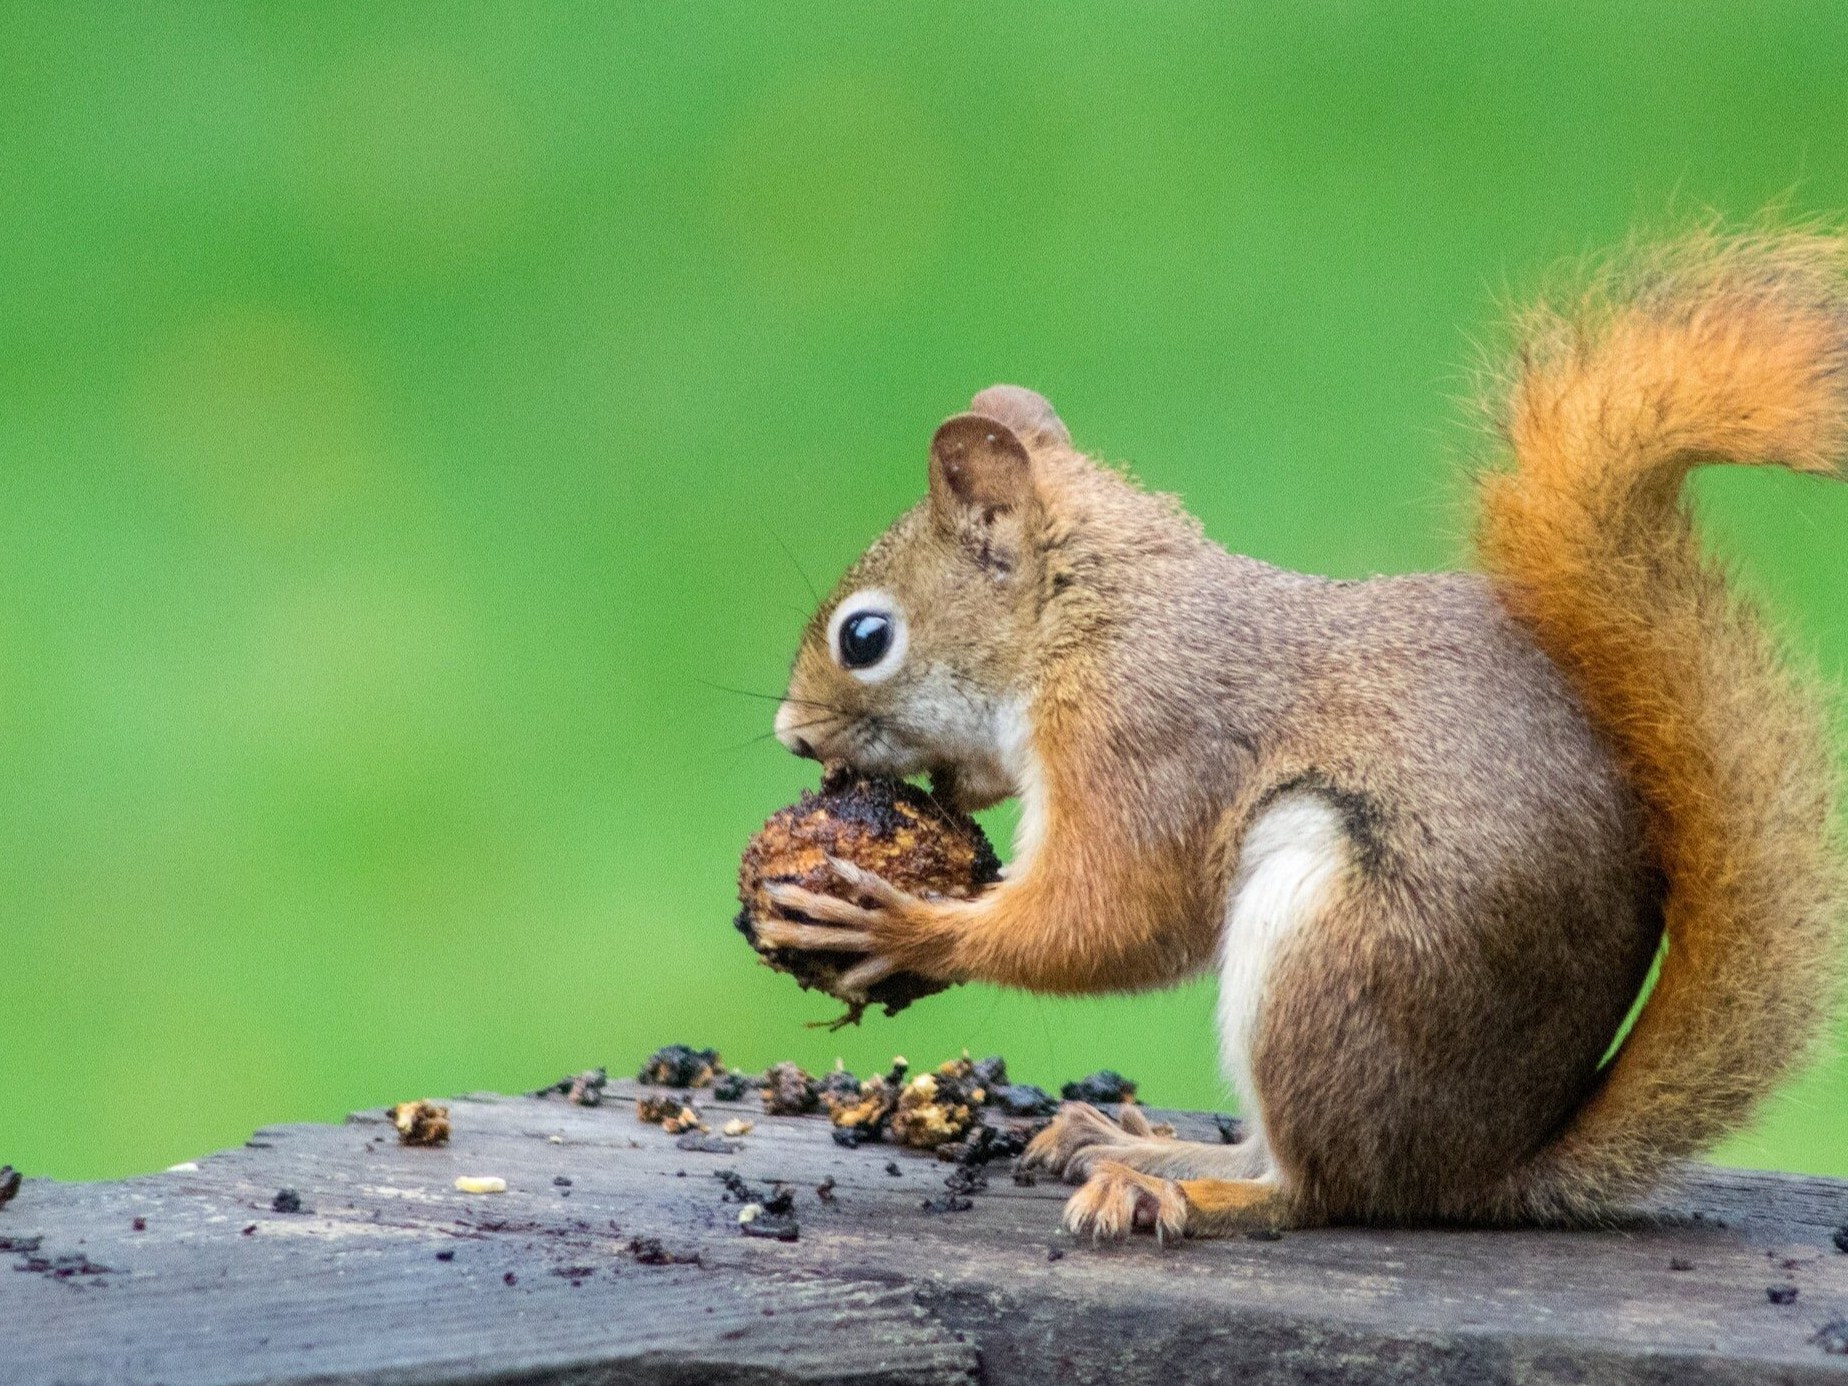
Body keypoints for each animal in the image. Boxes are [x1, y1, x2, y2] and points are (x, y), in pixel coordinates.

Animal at [753, 233, 1848, 1241]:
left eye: (866, 638)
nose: (792, 735)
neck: (1088, 616)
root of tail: (1484, 1170)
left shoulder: (1143, 736)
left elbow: (1115, 915)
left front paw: (900, 927)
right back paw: (1133, 1143)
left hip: (1332, 951)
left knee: (1318, 1189)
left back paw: (1176, 1188)